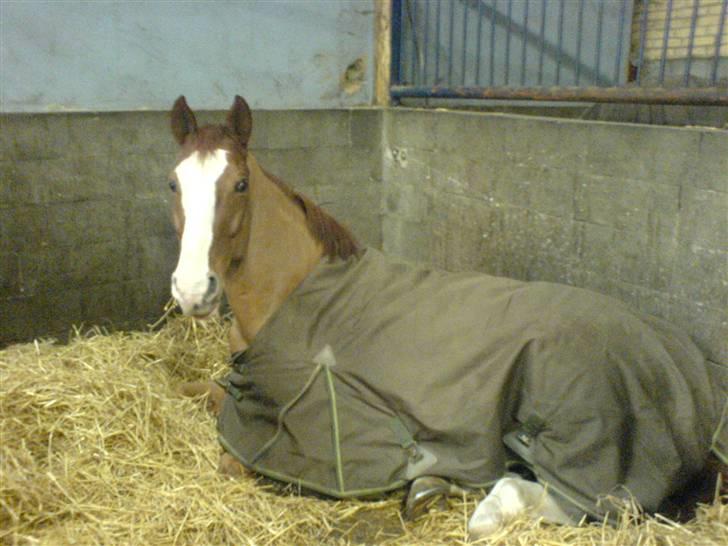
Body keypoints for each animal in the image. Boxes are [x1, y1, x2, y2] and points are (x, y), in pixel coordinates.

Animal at [166, 94, 728, 536]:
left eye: (240, 185)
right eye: (173, 184)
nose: (193, 290)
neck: (296, 290)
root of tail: (680, 368)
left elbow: (227, 450)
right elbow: (195, 389)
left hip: (580, 440)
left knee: (561, 499)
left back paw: (450, 488)